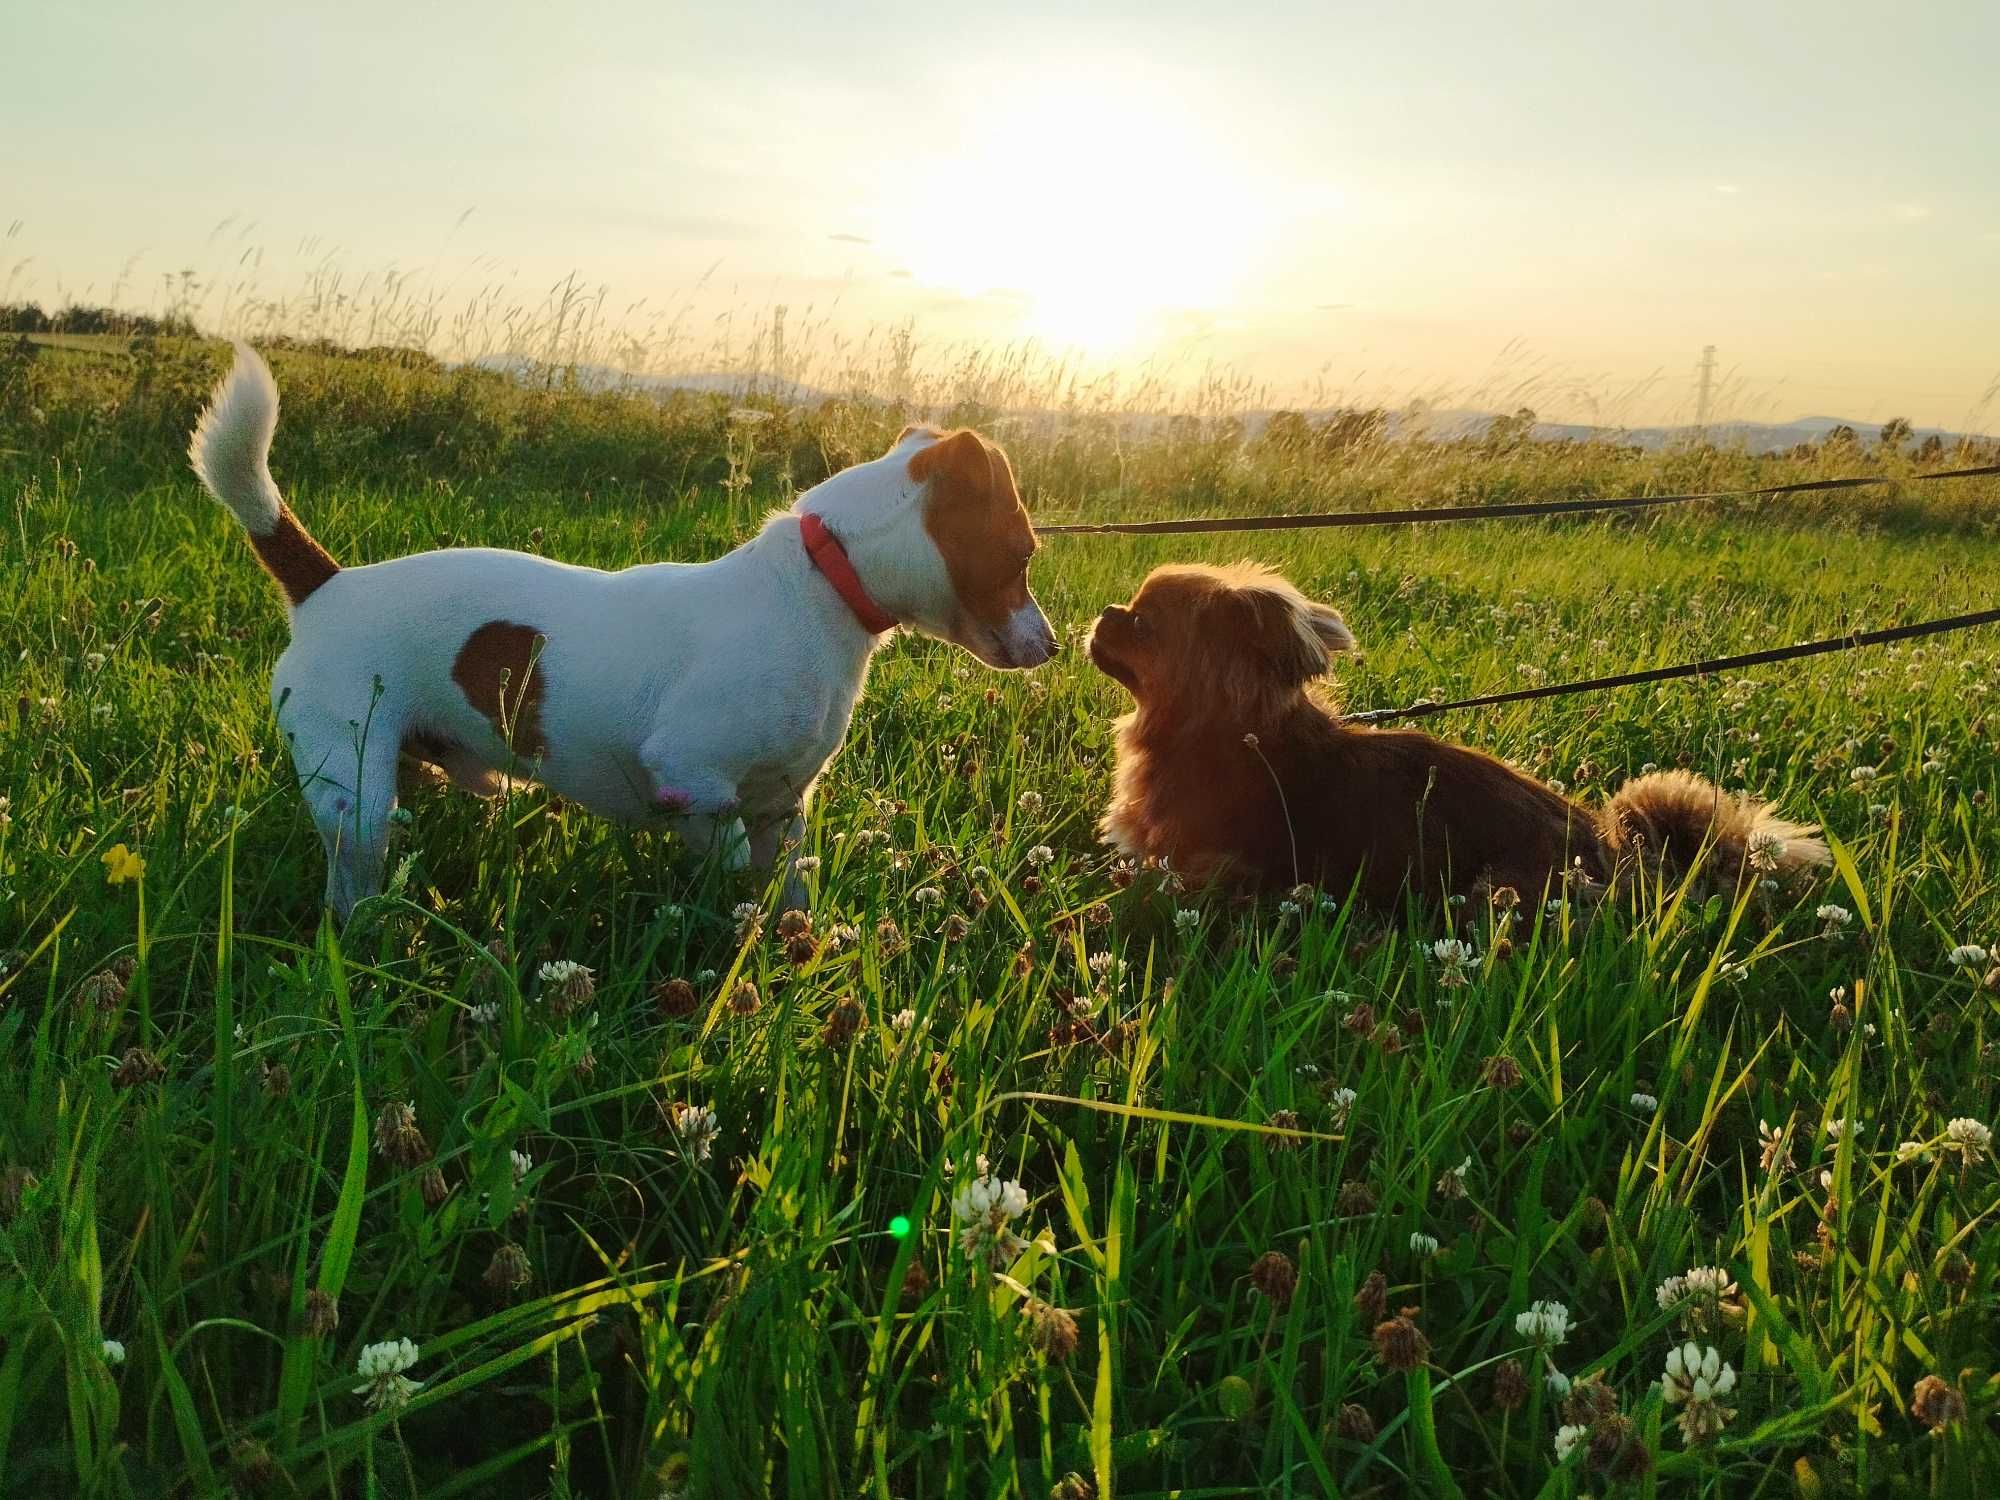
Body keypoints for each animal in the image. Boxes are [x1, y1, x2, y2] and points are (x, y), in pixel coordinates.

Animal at [189, 348, 1064, 924]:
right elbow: (722, 863)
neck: (820, 586)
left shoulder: (784, 804)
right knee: (350, 877)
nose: (1055, 646)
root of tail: (326, 584)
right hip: (354, 790)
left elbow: (786, 890)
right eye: (1025, 551)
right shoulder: (693, 777)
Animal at [1088, 560, 1832, 904]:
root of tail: (1617, 850)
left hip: (1497, 889)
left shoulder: (1206, 871)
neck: (1218, 728)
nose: (1106, 612)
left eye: (1144, 623)